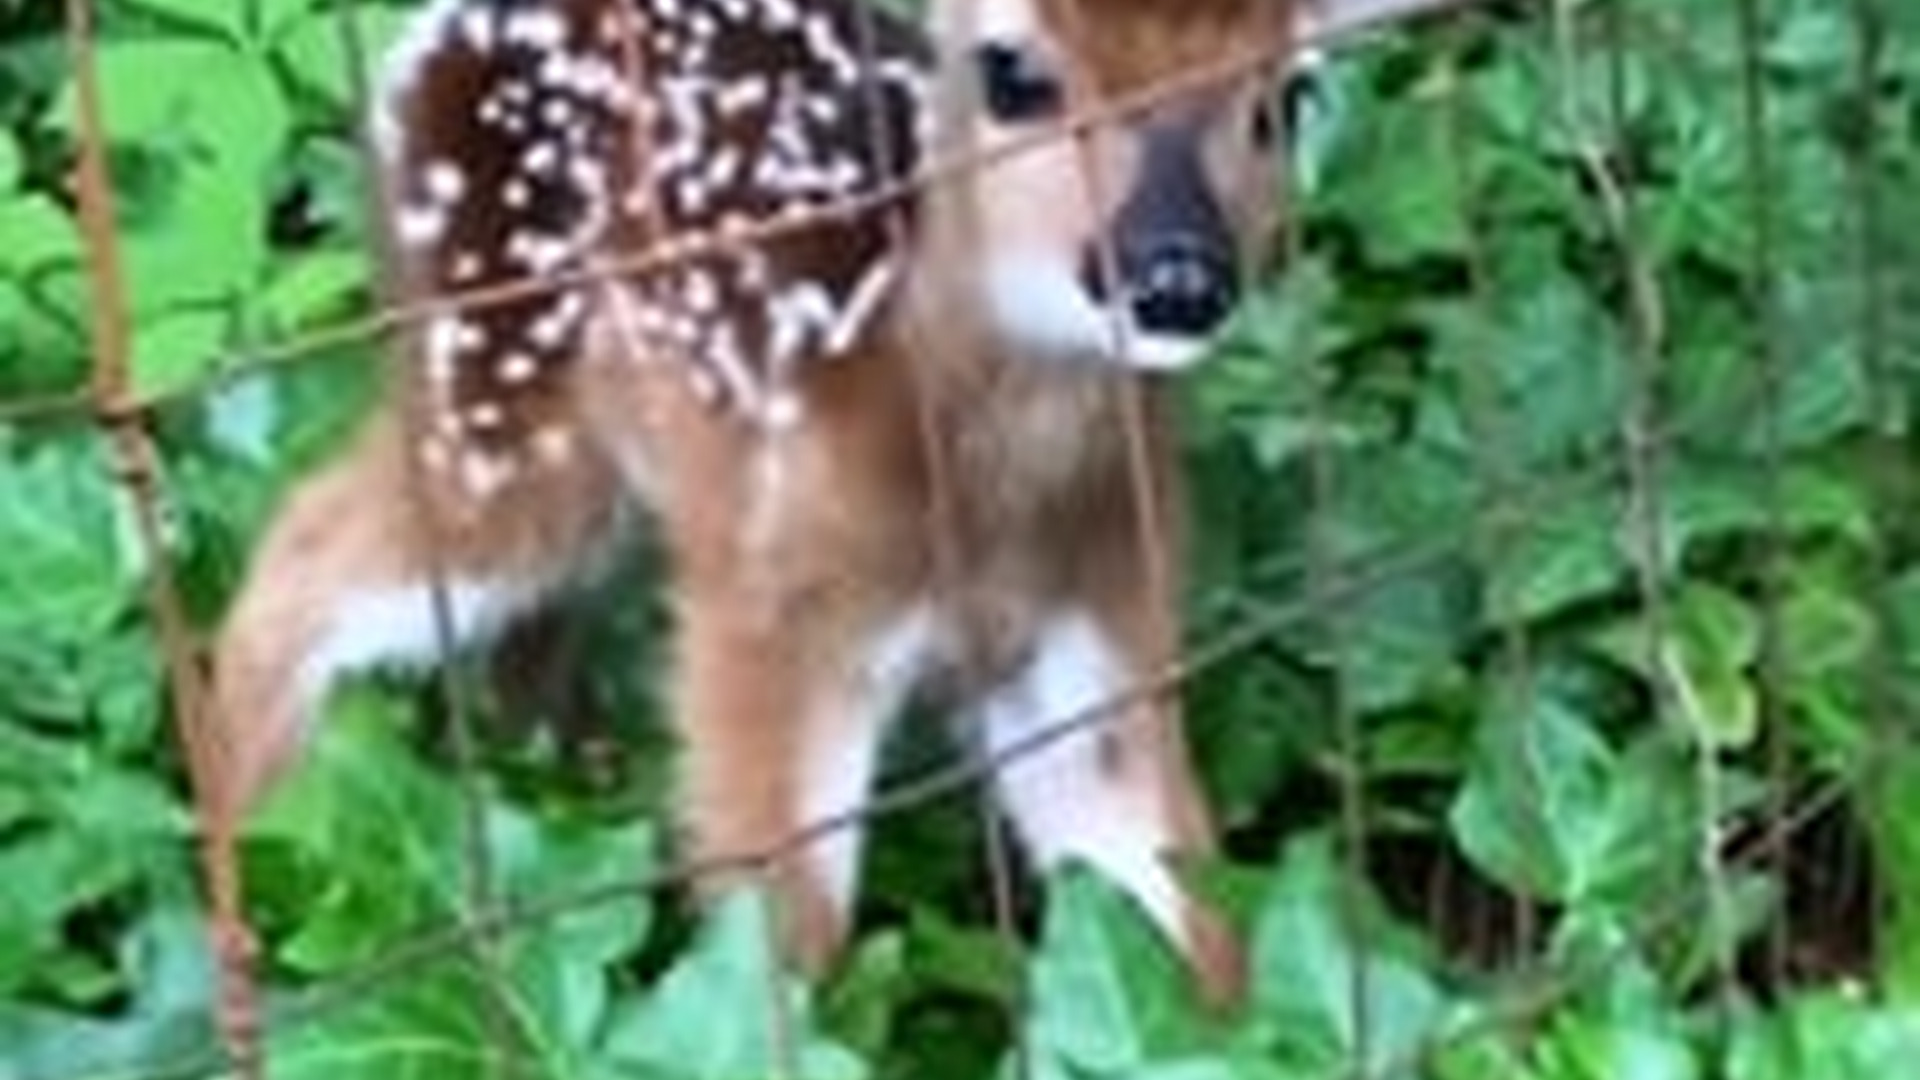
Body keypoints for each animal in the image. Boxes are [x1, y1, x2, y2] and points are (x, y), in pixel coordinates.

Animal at [212, 0, 1321, 1002]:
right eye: (1015, 74)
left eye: (1285, 99)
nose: (1178, 272)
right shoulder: (767, 619)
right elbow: (781, 945)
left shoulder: (1105, 634)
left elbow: (1184, 907)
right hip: (498, 410)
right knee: (296, 554)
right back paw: (257, 886)